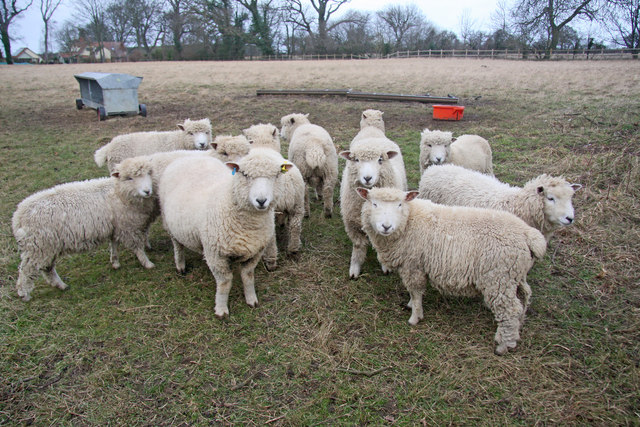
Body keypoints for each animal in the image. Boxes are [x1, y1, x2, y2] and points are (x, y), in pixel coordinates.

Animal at [11, 157, 157, 300]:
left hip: (46, 247)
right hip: (38, 247)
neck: (119, 192)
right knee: (26, 271)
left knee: (47, 269)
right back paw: (24, 294)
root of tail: (18, 216)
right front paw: (147, 263)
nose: (147, 191)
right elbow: (137, 248)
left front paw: (115, 262)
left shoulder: (116, 226)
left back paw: (61, 285)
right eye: (129, 178)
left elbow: (113, 244)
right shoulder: (128, 227)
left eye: (149, 173)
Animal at [160, 147, 292, 318]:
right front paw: (221, 309)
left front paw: (251, 300)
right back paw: (180, 265)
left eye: (276, 175)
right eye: (244, 174)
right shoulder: (215, 254)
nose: (261, 201)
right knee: (177, 246)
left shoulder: (256, 251)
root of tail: (187, 157)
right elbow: (224, 283)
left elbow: (248, 276)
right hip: (169, 223)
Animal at [340, 135, 404, 280]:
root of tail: (373, 133)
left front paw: (385, 267)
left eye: (380, 159)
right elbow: (358, 246)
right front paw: (355, 268)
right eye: (356, 159)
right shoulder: (353, 225)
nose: (368, 178)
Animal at [358, 186, 548, 356]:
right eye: (374, 203)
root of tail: (528, 235)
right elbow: (413, 293)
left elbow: (416, 292)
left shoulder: (413, 265)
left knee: (510, 309)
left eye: (399, 204)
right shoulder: (413, 267)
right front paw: (411, 305)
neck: (409, 221)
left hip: (498, 278)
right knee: (523, 298)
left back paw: (504, 345)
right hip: (514, 275)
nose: (386, 226)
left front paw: (415, 317)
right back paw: (516, 330)